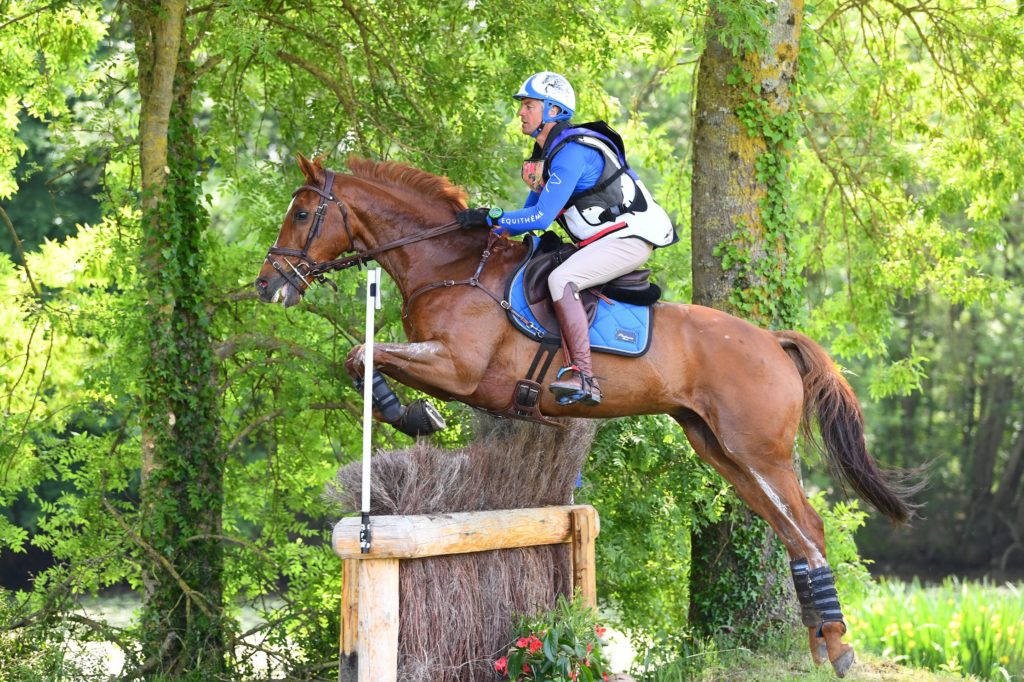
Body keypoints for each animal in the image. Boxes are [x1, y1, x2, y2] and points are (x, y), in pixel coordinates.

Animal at [256, 152, 921, 675]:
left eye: (301, 214)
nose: (268, 285)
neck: (449, 267)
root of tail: (772, 341)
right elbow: (360, 357)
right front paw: (412, 415)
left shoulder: (458, 370)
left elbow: (364, 353)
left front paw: (412, 416)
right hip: (721, 451)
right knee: (790, 532)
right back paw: (819, 642)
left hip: (759, 451)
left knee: (809, 527)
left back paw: (837, 647)